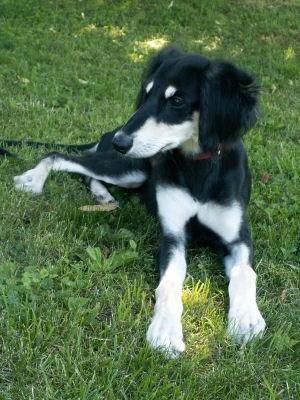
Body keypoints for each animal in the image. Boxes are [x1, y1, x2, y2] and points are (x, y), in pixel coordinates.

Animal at [11, 47, 268, 356]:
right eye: (147, 94)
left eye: (177, 100)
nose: (121, 142)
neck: (199, 166)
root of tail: (108, 133)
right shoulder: (173, 237)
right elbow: (169, 283)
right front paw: (165, 331)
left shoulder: (237, 237)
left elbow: (244, 273)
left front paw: (246, 320)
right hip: (130, 168)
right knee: (58, 156)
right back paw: (34, 179)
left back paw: (102, 195)